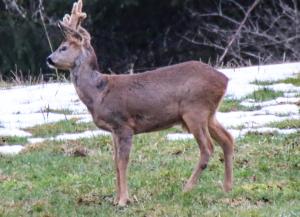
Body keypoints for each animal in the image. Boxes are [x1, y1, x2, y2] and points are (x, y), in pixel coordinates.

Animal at [47, 0, 234, 207]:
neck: (99, 93)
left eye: (63, 47)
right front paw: (115, 199)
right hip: (209, 113)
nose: (49, 59)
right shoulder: (113, 130)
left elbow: (123, 162)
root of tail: (224, 80)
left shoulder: (123, 124)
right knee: (228, 139)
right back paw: (227, 187)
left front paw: (123, 200)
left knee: (207, 147)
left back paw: (186, 189)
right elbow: (115, 162)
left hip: (195, 110)